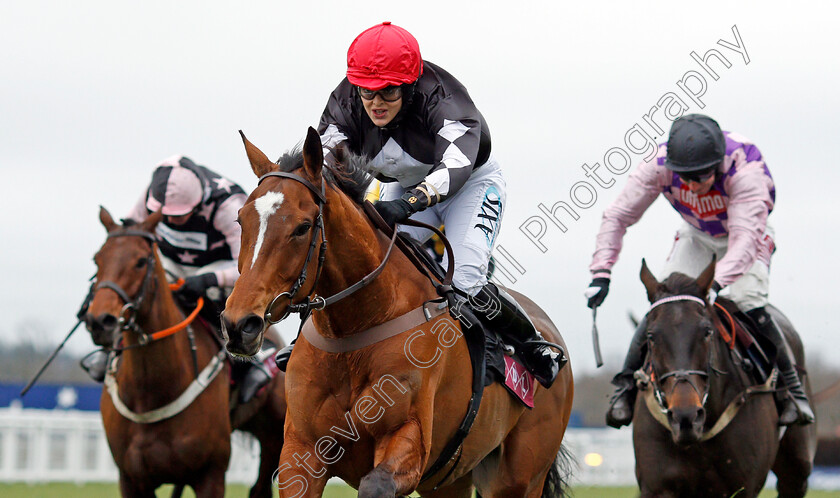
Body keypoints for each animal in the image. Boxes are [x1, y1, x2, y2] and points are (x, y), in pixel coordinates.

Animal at [85, 208, 288, 496]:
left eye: (141, 261)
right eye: (97, 260)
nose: (100, 321)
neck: (150, 392)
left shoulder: (211, 474)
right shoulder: (131, 479)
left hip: (273, 436)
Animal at [221, 129, 576, 498]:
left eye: (303, 227)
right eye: (240, 220)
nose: (239, 324)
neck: (356, 329)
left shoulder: (409, 439)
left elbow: (376, 484)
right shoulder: (300, 453)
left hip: (520, 477)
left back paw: (540, 355)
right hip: (452, 479)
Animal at [632, 258, 816, 496]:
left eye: (707, 331)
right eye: (651, 336)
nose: (685, 417)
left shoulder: (743, 487)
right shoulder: (657, 486)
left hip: (797, 468)